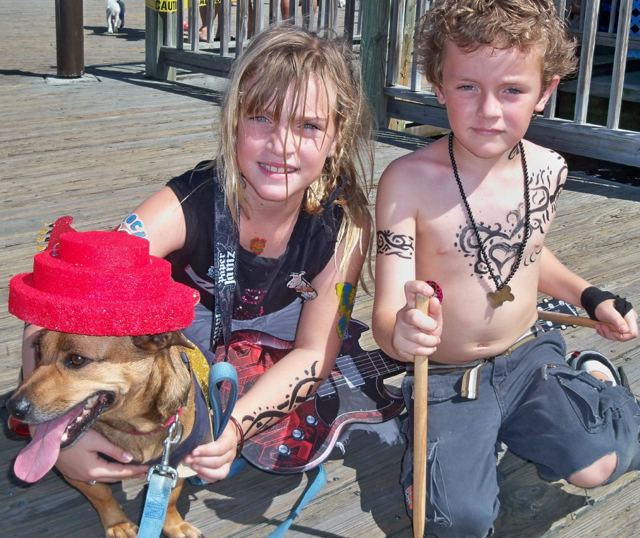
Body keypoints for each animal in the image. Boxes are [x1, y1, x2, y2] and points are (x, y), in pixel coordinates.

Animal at [8, 326, 208, 536]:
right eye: (38, 349)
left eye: (77, 359)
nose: (12, 407)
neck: (135, 426)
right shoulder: (76, 469)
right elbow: (101, 494)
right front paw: (118, 524)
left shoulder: (176, 462)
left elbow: (170, 497)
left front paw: (175, 525)